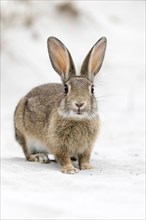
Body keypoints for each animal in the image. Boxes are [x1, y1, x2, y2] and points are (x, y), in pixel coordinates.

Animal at [14, 35, 106, 174]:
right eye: (66, 89)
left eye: (92, 89)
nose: (79, 104)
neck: (77, 119)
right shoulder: (58, 144)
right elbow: (63, 157)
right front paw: (69, 170)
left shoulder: (87, 147)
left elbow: (85, 157)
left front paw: (87, 167)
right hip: (24, 134)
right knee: (27, 154)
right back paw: (40, 157)